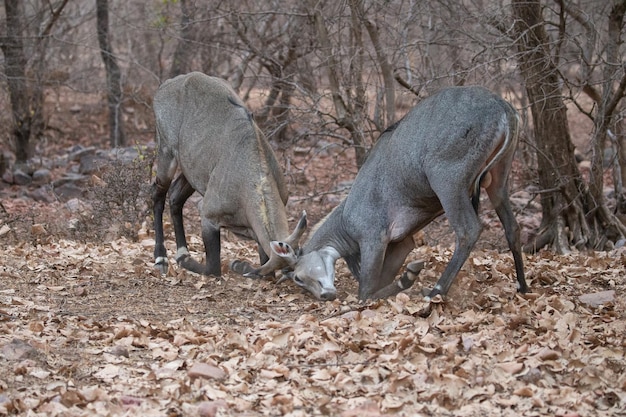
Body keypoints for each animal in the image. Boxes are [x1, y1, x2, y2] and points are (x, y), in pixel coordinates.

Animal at [270, 86, 528, 300]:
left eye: (298, 277)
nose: (325, 296)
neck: (344, 219)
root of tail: (504, 109)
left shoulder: (373, 237)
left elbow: (366, 292)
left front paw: (408, 277)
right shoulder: (403, 242)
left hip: (448, 182)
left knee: (468, 230)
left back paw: (435, 292)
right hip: (498, 179)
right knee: (512, 227)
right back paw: (523, 287)